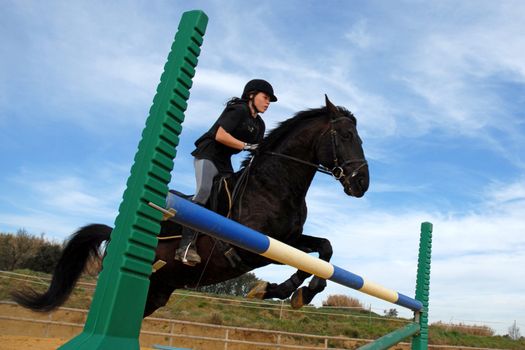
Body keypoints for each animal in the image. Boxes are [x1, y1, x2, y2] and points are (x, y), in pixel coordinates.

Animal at [12, 95, 368, 318]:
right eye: (346, 136)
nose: (362, 183)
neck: (274, 185)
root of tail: (116, 231)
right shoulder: (251, 250)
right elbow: (308, 263)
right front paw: (271, 289)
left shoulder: (289, 241)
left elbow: (324, 251)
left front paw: (299, 293)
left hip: (158, 292)